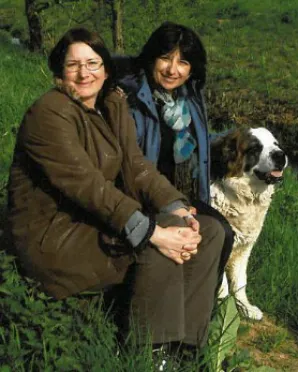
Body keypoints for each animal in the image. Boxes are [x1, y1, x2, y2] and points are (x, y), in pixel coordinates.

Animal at [211, 127, 288, 320]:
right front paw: (222, 309)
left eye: (276, 144)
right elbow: (223, 284)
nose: (280, 155)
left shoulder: (244, 248)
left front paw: (244, 308)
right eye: (255, 148)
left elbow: (240, 282)